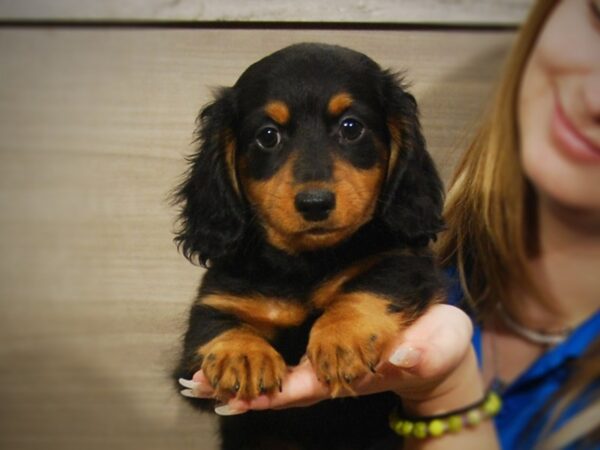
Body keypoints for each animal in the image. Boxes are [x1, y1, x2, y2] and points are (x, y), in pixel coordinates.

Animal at [173, 43, 446, 450]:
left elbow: (373, 283)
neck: (304, 264)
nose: (315, 203)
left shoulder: (406, 264)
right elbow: (216, 324)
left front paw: (341, 336)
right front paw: (242, 355)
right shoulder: (213, 308)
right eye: (268, 136)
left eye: (351, 127)